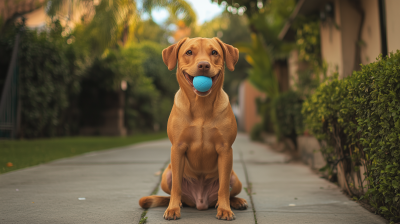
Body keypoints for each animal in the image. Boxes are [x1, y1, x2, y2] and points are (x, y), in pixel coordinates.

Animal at [140, 37, 247, 220]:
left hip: (236, 179)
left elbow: (224, 187)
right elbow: (176, 186)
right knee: (175, 191)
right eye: (189, 52)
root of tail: (200, 201)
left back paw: (236, 202)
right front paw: (173, 209)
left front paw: (225, 209)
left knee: (229, 190)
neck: (201, 106)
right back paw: (178, 204)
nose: (203, 65)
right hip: (165, 176)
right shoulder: (177, 148)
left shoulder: (225, 150)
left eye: (214, 52)